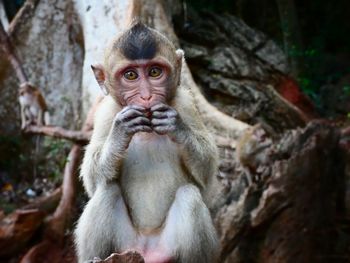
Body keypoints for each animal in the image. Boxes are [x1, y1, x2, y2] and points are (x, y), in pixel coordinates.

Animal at [74, 22, 219, 263]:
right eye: (131, 75)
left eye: (154, 72)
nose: (146, 96)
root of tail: (147, 248)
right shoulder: (105, 113)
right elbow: (92, 183)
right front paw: (121, 131)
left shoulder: (186, 104)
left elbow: (206, 179)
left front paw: (176, 125)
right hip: (125, 244)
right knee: (106, 191)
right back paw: (94, 258)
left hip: (166, 247)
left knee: (189, 195)